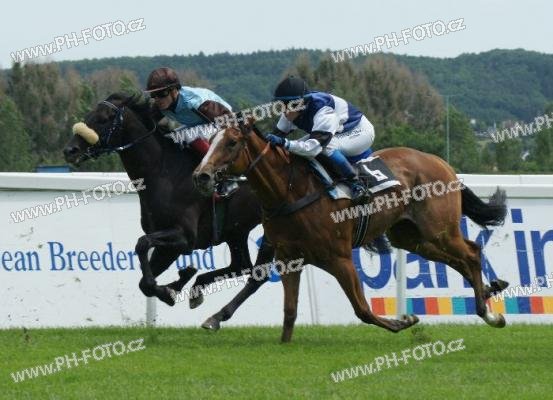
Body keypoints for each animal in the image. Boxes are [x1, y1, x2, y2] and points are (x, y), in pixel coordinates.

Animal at [63, 93, 274, 330]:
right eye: (89, 114)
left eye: (104, 119)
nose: (70, 150)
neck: (164, 173)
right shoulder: (168, 244)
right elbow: (144, 281)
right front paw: (176, 284)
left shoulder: (184, 237)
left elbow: (142, 245)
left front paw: (171, 288)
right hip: (236, 231)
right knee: (242, 265)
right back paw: (200, 290)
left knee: (258, 274)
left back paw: (216, 315)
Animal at [192, 121, 509, 342]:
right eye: (212, 140)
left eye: (231, 142)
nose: (201, 176)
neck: (290, 192)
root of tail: (440, 162)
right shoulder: (288, 258)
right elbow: (289, 311)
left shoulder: (339, 258)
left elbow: (362, 309)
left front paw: (402, 322)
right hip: (412, 237)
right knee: (460, 258)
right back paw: (489, 294)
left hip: (438, 230)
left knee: (471, 253)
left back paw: (489, 313)